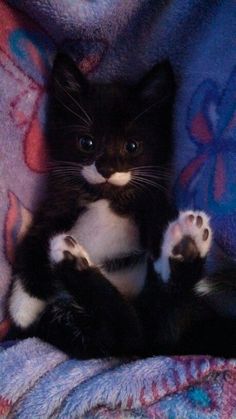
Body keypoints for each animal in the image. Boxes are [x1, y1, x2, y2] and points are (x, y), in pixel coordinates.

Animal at [7, 54, 236, 360]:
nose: (105, 168)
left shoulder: (153, 201)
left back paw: (185, 246)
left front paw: (23, 305)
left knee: (147, 322)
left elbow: (157, 220)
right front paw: (25, 302)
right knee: (126, 330)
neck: (106, 197)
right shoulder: (56, 205)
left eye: (132, 146)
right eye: (86, 142)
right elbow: (33, 241)